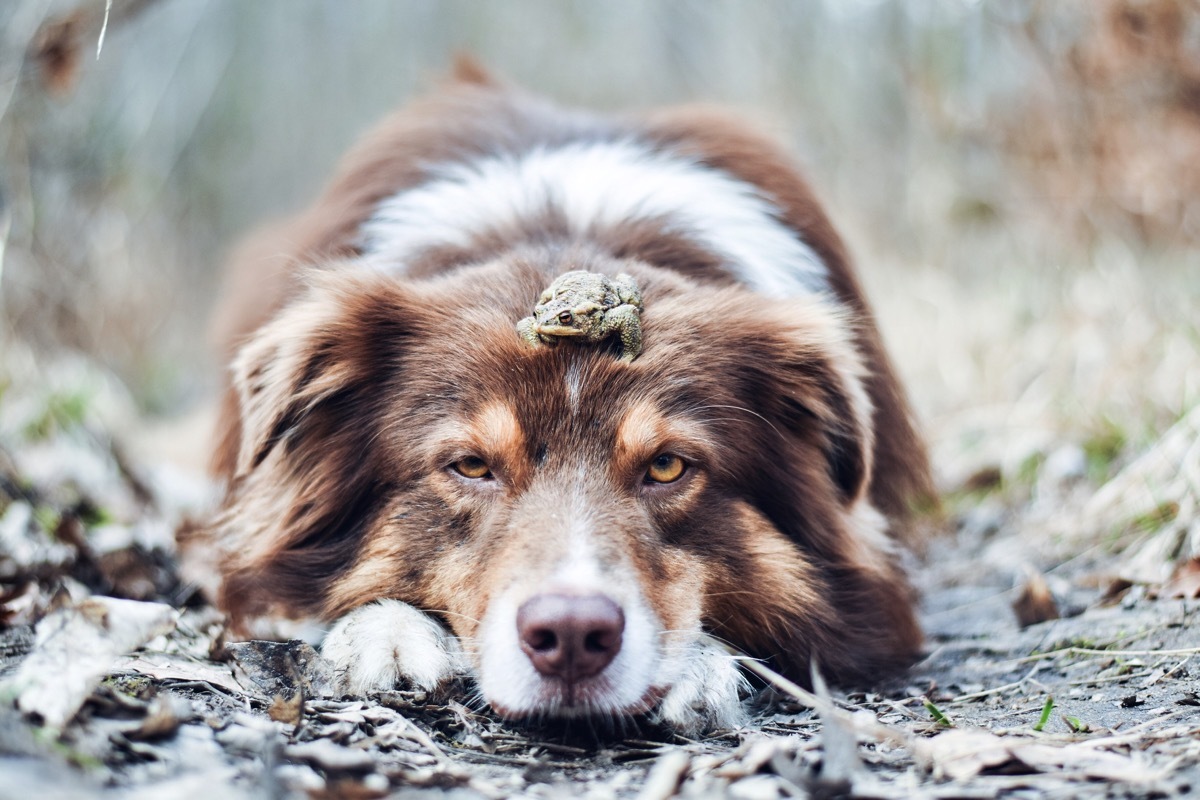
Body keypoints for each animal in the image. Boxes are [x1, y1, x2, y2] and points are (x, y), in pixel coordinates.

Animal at [201, 65, 936, 734]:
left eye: (668, 466)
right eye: (471, 465)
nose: (574, 637)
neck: (562, 229)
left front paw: (698, 664)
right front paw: (389, 634)